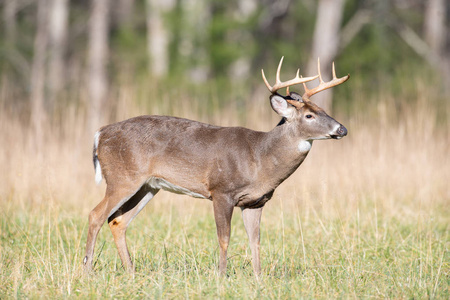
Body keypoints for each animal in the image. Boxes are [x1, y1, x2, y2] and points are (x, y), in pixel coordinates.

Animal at [85, 56, 352, 276]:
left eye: (324, 110)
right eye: (309, 116)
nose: (342, 129)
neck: (259, 159)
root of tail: (100, 133)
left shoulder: (256, 201)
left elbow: (255, 240)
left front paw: (258, 277)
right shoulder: (222, 191)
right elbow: (224, 237)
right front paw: (221, 276)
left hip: (149, 186)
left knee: (118, 221)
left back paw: (131, 271)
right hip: (123, 177)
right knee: (96, 214)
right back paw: (87, 270)